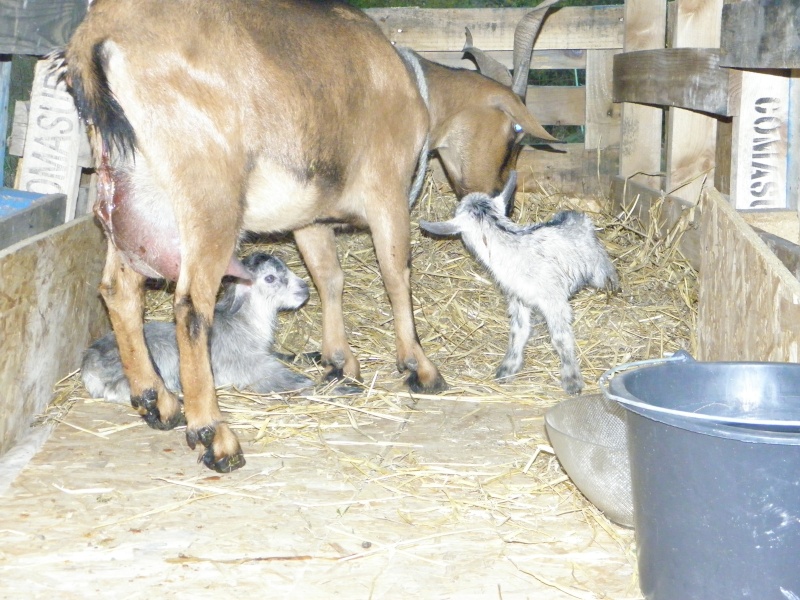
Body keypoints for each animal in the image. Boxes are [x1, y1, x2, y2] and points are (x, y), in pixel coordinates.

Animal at [62, 0, 560, 472]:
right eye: (516, 133)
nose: (498, 198)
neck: (409, 87)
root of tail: (100, 36)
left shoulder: (309, 215)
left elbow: (328, 278)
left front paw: (341, 362)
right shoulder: (387, 194)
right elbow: (396, 274)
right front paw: (421, 369)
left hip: (135, 202)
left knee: (120, 289)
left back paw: (158, 403)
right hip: (208, 202)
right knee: (191, 307)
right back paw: (215, 437)